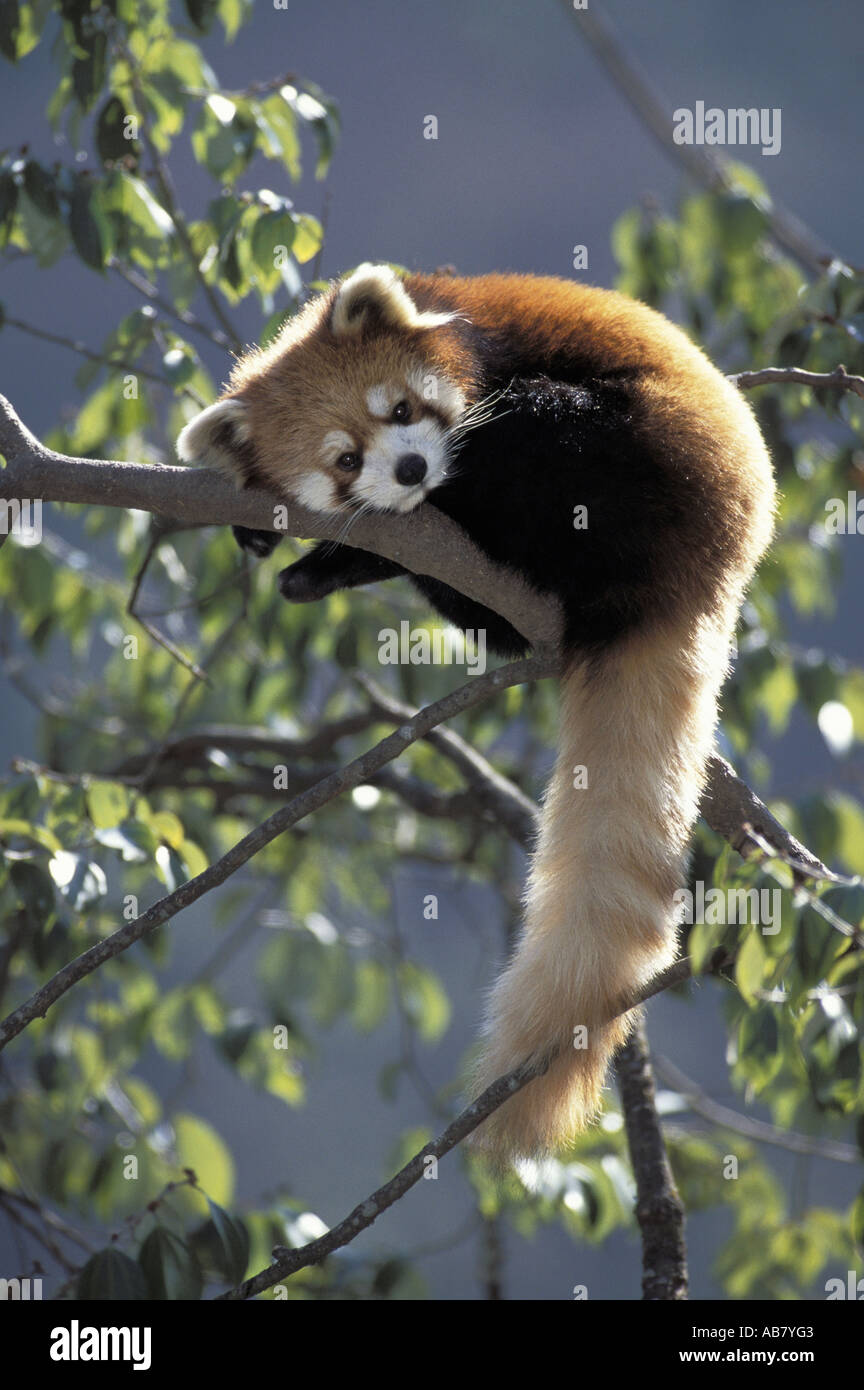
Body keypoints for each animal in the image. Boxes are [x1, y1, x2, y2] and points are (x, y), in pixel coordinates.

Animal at [176, 261, 777, 1162]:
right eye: (345, 459)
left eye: (400, 410)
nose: (411, 471)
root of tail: (709, 569)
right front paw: (273, 540)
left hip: (634, 454)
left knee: (526, 435)